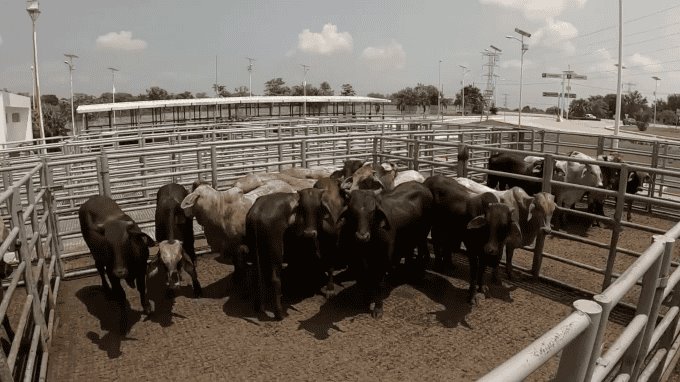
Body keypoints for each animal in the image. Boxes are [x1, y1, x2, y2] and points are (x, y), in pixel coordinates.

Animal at [78, 195, 155, 330]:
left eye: (126, 242)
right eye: (108, 244)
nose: (120, 272)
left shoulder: (141, 269)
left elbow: (141, 288)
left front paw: (146, 307)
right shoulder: (112, 274)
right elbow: (121, 295)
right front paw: (123, 321)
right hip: (96, 256)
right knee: (100, 269)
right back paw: (108, 291)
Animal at [338, 181, 432, 318]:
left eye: (372, 211)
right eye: (352, 210)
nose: (362, 236)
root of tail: (422, 185)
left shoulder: (383, 260)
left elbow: (378, 283)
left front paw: (378, 308)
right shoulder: (360, 260)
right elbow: (366, 279)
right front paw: (367, 299)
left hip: (422, 235)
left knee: (423, 253)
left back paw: (419, 275)